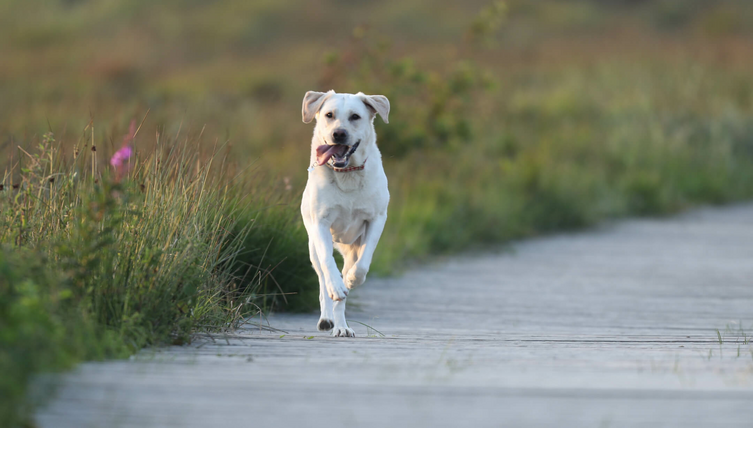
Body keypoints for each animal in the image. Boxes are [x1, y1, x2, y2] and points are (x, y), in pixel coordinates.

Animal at [300, 90, 390, 338]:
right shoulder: (320, 223)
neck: (347, 173)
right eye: (329, 115)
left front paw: (350, 279)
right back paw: (328, 317)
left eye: (355, 116)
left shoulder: (377, 219)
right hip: (312, 247)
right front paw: (337, 286)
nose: (338, 133)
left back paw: (342, 326)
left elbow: (363, 263)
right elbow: (328, 262)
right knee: (323, 279)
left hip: (351, 247)